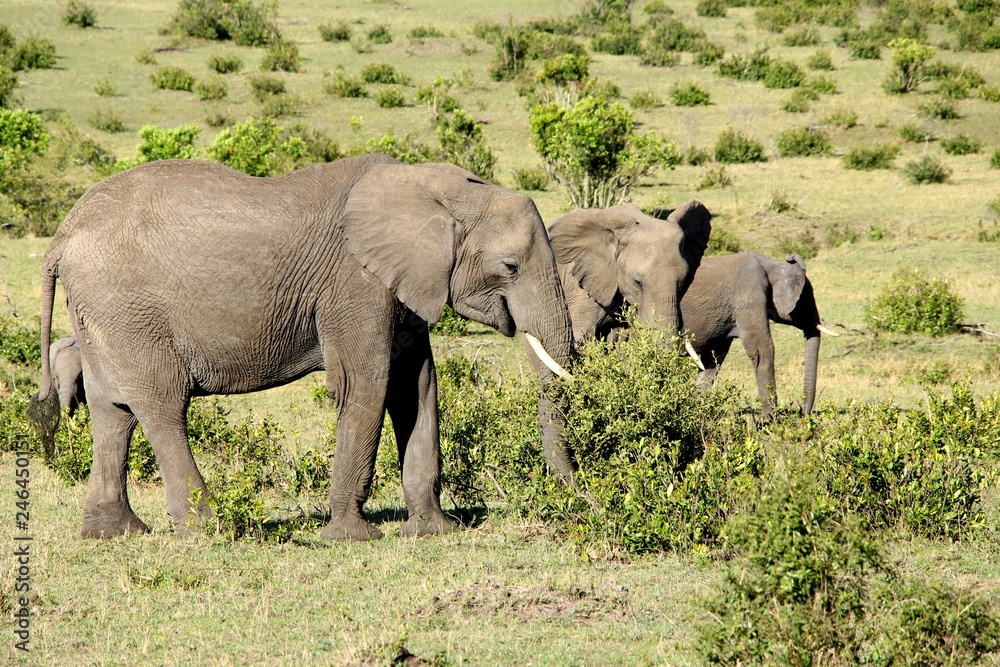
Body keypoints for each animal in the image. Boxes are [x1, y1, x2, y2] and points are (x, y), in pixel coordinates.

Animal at [30, 154, 574, 540]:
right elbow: (367, 384)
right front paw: (352, 537)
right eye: (510, 267)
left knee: (112, 411)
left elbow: (416, 386)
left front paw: (433, 531)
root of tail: (62, 236)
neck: (435, 187)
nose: (572, 492)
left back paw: (114, 533)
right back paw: (213, 531)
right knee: (162, 406)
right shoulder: (354, 284)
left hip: (98, 312)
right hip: (129, 311)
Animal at [680, 251, 838, 419]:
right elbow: (762, 350)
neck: (773, 265)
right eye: (806, 297)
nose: (802, 411)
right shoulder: (750, 298)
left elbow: (712, 360)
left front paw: (695, 410)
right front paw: (768, 419)